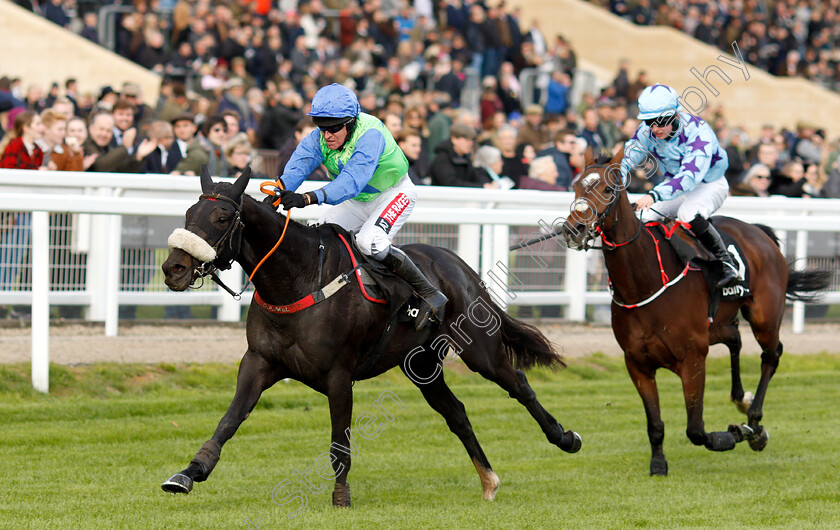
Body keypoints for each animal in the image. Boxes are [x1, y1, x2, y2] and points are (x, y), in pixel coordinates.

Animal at [158, 165, 580, 504]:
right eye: (188, 212)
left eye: (221, 216)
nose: (173, 268)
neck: (298, 279)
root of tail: (460, 265)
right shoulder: (259, 362)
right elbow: (228, 421)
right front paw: (188, 473)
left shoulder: (338, 375)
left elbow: (340, 441)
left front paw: (341, 497)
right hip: (422, 365)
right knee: (457, 413)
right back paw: (488, 481)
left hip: (479, 349)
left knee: (519, 384)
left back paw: (565, 438)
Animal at [560, 145, 832, 474]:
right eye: (576, 186)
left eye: (608, 189)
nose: (573, 229)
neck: (646, 280)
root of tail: (758, 232)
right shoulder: (637, 362)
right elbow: (655, 424)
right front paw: (658, 464)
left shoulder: (692, 358)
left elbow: (696, 430)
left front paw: (737, 433)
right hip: (718, 323)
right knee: (735, 340)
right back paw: (741, 400)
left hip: (764, 317)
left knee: (771, 355)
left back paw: (754, 421)